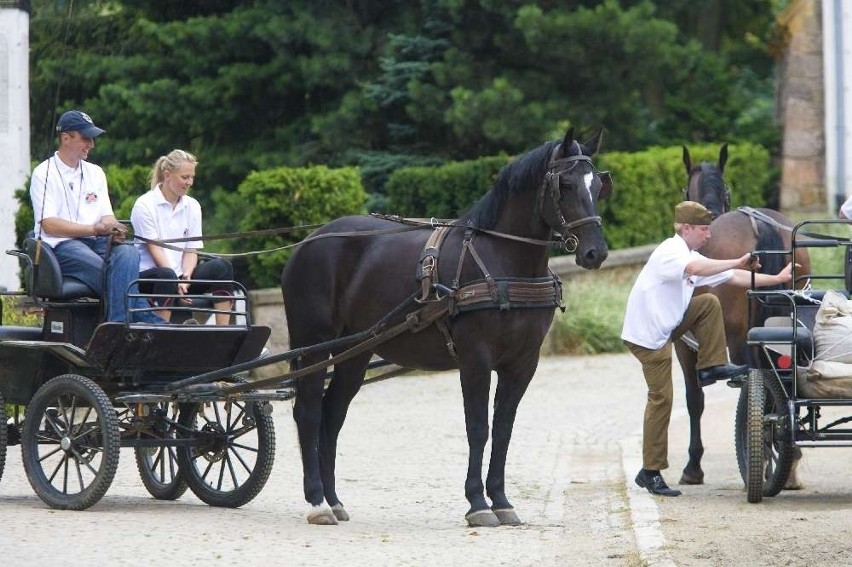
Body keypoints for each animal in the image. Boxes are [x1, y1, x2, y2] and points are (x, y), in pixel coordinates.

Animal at [282, 129, 612, 528]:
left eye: (598, 185)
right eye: (565, 184)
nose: (596, 252)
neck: (503, 261)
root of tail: (309, 242)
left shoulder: (522, 364)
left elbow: (503, 430)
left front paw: (501, 500)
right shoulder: (475, 359)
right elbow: (478, 428)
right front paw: (478, 503)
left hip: (354, 354)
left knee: (332, 416)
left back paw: (333, 500)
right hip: (313, 344)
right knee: (308, 412)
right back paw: (317, 502)